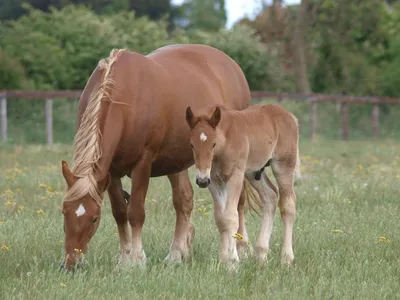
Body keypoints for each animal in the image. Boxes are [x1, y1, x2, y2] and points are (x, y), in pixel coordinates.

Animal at [59, 44, 250, 270]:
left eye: (94, 219)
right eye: (64, 212)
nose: (71, 263)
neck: (125, 97)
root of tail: (232, 66)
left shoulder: (143, 163)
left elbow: (136, 212)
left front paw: (137, 260)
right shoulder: (110, 171)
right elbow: (120, 212)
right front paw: (124, 259)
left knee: (239, 202)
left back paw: (241, 250)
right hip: (176, 163)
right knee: (184, 200)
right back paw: (176, 254)